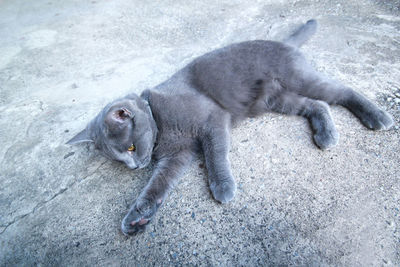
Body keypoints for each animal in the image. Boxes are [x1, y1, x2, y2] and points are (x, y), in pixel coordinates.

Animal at [67, 19, 392, 237]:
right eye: (119, 159)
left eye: (131, 147)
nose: (134, 167)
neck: (161, 123)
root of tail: (284, 42)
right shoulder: (175, 157)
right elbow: (156, 185)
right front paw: (136, 217)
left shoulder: (214, 120)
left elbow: (215, 154)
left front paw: (223, 186)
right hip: (277, 99)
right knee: (317, 104)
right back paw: (326, 134)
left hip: (299, 78)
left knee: (341, 91)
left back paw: (377, 117)